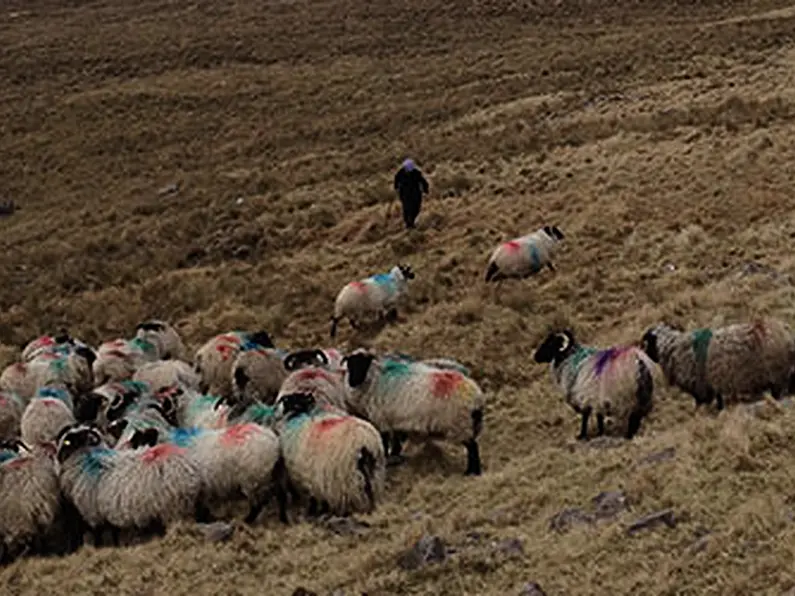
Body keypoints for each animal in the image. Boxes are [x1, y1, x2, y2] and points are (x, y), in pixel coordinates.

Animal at [340, 350, 486, 474]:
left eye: (363, 364)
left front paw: (388, 457)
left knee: (473, 447)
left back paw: (472, 472)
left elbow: (385, 441)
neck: (374, 380)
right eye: (350, 364)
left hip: (460, 424)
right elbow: (395, 439)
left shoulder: (381, 419)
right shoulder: (393, 419)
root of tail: (476, 396)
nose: (353, 382)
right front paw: (395, 455)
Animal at [640, 318, 795, 412]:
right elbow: (719, 402)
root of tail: (785, 331)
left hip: (778, 377)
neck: (672, 347)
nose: (642, 353)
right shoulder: (714, 386)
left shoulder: (702, 390)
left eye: (647, 343)